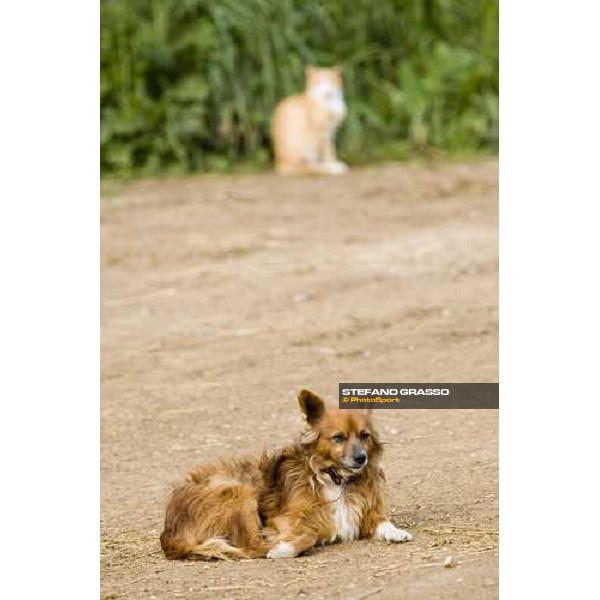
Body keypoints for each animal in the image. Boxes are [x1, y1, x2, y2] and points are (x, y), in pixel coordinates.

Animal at [159, 386, 412, 560]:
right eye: (338, 438)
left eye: (364, 435)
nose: (361, 458)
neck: (335, 478)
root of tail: (169, 529)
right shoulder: (283, 519)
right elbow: (308, 535)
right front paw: (284, 548)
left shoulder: (363, 514)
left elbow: (382, 520)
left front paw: (397, 532)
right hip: (240, 492)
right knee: (250, 546)